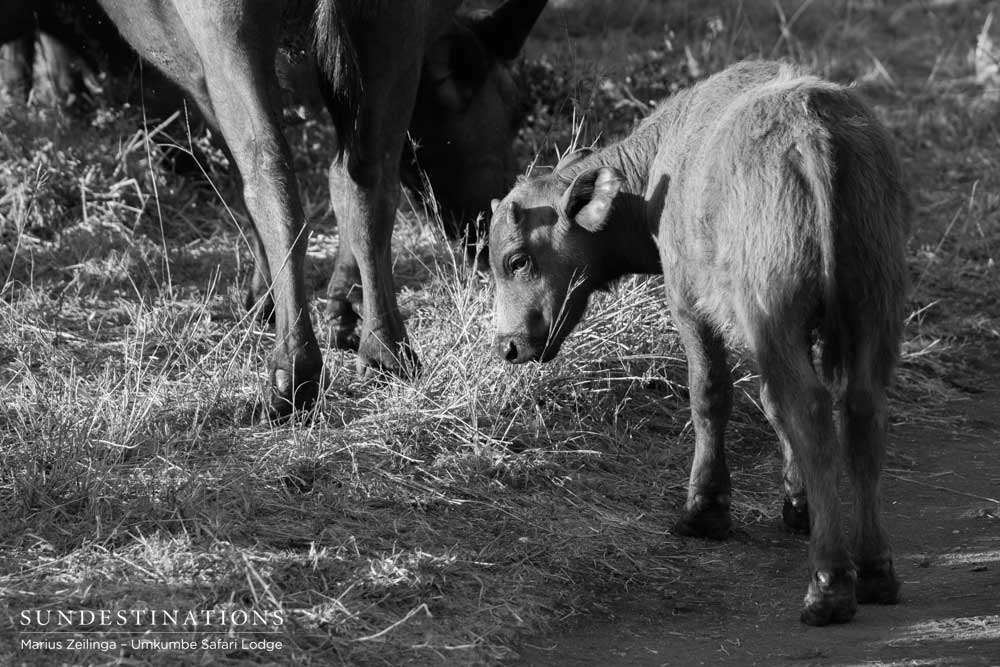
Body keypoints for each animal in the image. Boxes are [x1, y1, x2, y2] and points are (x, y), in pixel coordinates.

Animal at [489, 61, 909, 625]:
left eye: (517, 260)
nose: (508, 347)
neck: (660, 174)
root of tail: (812, 131)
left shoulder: (691, 307)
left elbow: (711, 396)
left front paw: (704, 511)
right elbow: (770, 405)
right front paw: (797, 506)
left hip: (776, 315)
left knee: (811, 409)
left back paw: (829, 585)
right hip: (872, 308)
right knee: (859, 409)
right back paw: (874, 571)